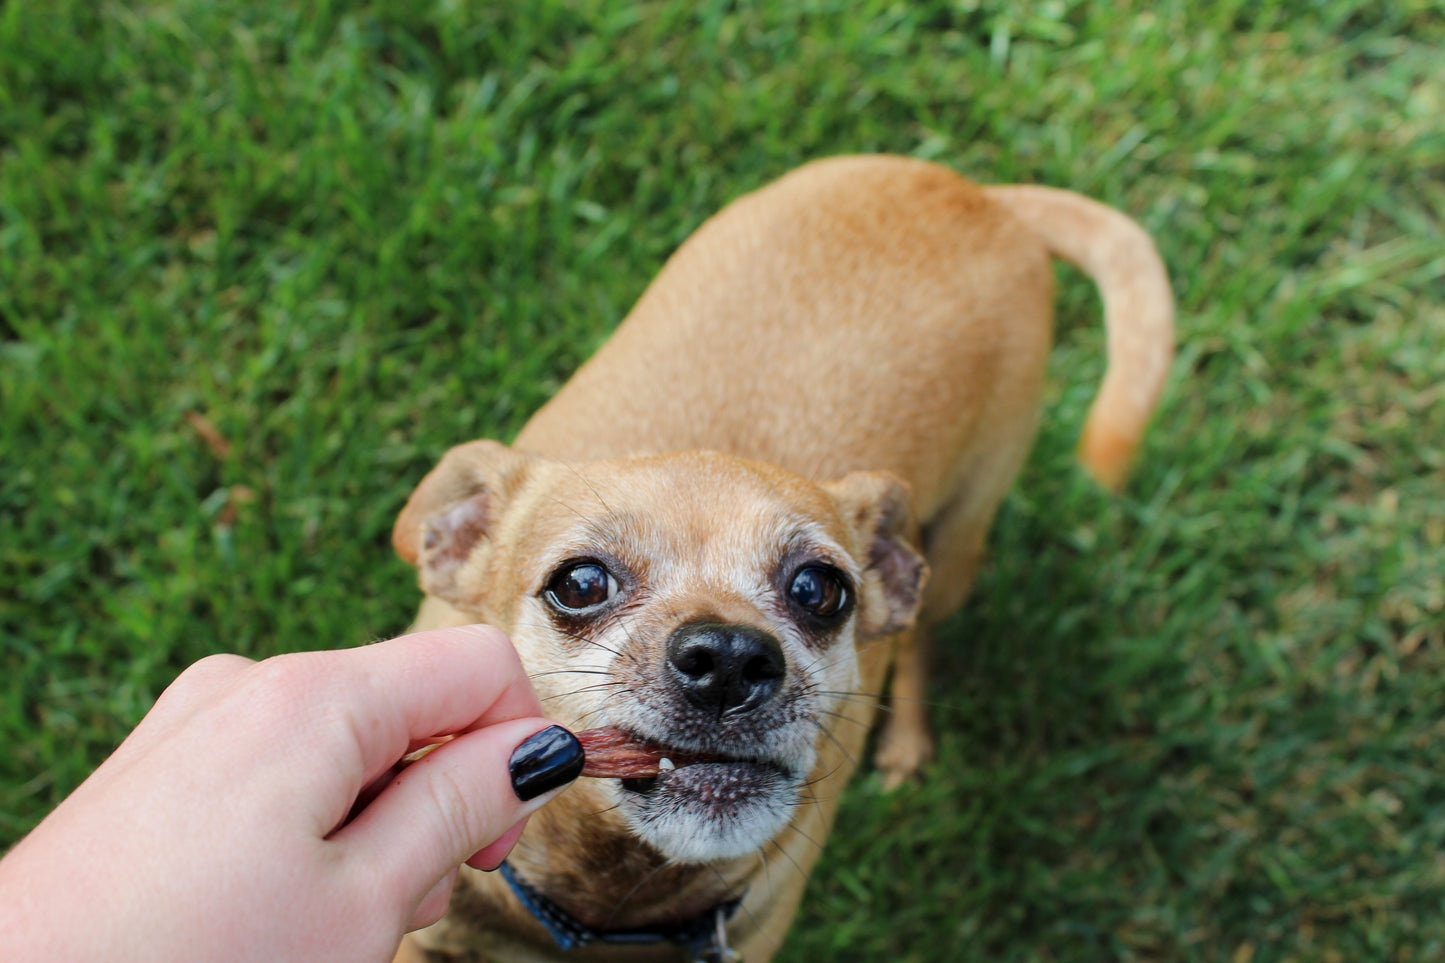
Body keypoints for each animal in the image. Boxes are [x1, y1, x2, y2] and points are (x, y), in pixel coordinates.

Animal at [387, 153, 1173, 954]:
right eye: (579, 583)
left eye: (820, 589)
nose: (729, 657)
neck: (612, 919)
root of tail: (974, 193)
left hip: (956, 543)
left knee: (920, 636)